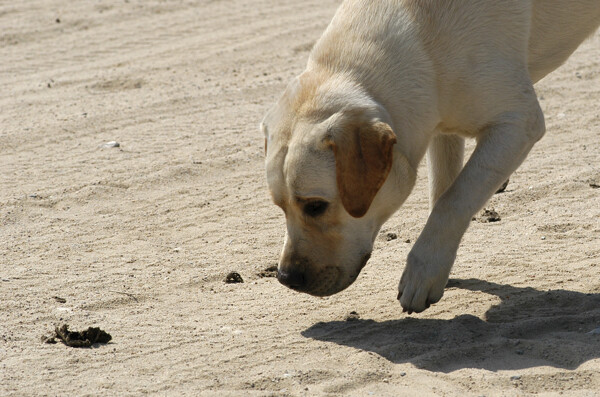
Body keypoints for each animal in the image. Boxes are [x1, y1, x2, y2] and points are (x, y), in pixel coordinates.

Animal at [262, 1, 600, 314]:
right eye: (280, 207)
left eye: (315, 206)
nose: (286, 278)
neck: (422, 37)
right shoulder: (441, 123)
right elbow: (442, 194)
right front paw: (440, 268)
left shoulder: (518, 123)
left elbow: (453, 201)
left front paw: (423, 272)